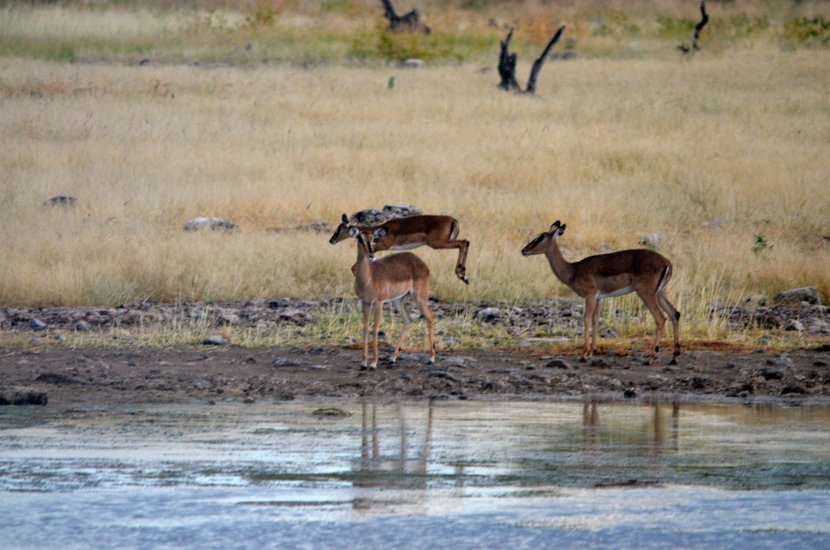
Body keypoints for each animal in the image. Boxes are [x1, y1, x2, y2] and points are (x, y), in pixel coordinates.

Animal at [330, 213, 471, 284]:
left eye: (339, 228)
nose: (331, 240)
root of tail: (453, 220)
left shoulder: (380, 247)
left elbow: (354, 267)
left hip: (438, 244)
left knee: (463, 243)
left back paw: (461, 274)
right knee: (466, 242)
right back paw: (463, 276)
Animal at [348, 227, 436, 369]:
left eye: (373, 239)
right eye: (360, 238)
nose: (371, 255)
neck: (368, 278)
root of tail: (421, 262)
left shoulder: (379, 302)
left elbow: (375, 329)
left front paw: (374, 363)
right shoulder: (366, 302)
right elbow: (365, 328)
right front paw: (363, 362)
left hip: (419, 297)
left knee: (429, 317)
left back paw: (431, 358)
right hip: (398, 300)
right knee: (408, 320)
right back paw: (392, 358)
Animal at [522, 221, 680, 364]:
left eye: (541, 237)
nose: (524, 250)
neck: (573, 270)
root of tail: (667, 263)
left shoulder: (590, 295)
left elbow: (586, 319)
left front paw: (584, 354)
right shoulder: (600, 298)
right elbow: (595, 320)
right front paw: (592, 352)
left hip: (646, 294)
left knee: (661, 318)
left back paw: (652, 357)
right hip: (660, 293)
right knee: (675, 314)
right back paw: (674, 358)